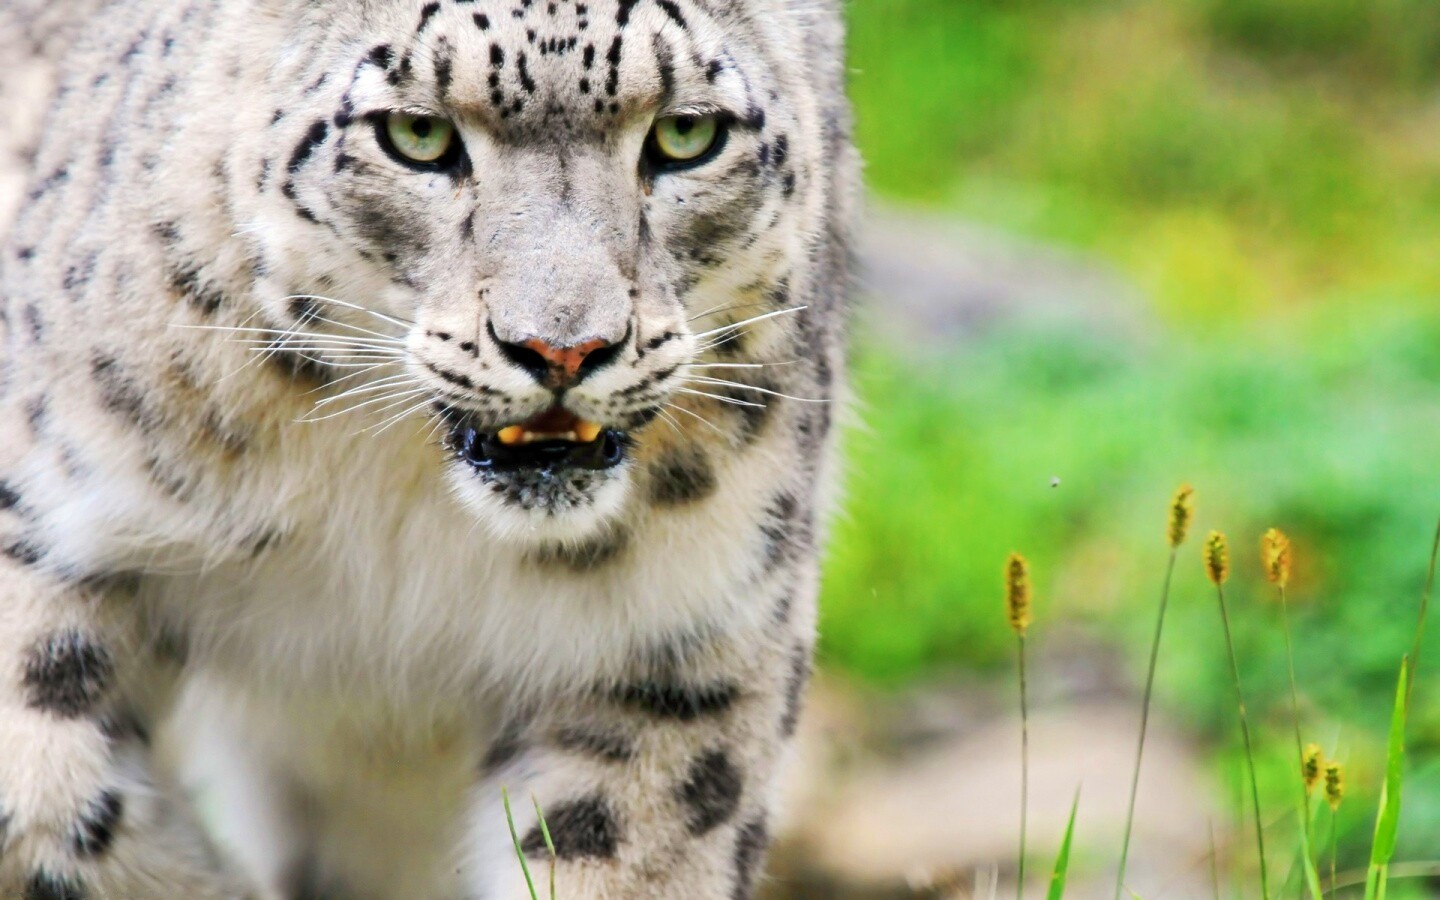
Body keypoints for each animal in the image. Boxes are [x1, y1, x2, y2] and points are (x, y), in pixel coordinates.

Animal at [0, 0, 856, 897]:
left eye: (687, 133)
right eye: (417, 134)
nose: (563, 349)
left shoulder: (679, 647)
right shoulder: (56, 521)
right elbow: (48, 796)